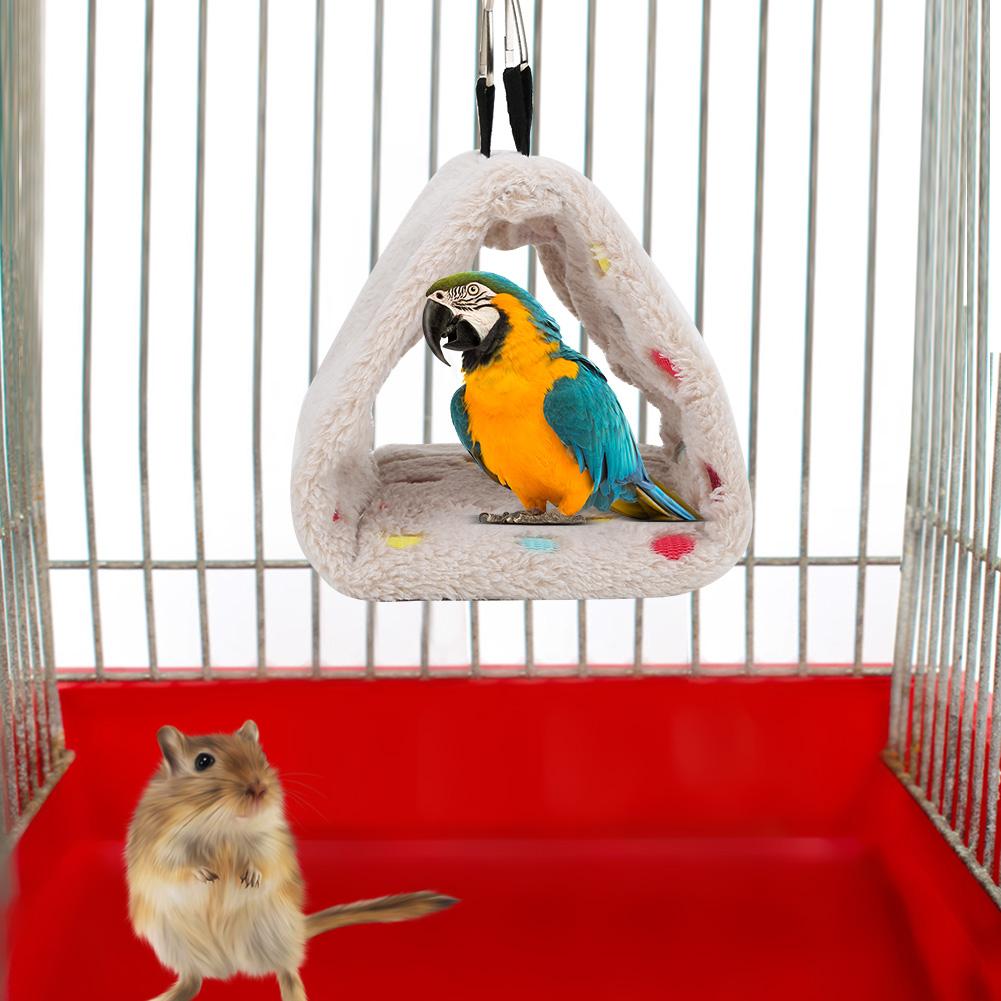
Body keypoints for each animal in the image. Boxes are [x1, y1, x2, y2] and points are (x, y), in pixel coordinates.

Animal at [126, 720, 457, 1001]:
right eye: (203, 762)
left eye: (261, 756)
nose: (259, 788)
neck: (223, 827)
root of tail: (229, 964)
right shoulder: (160, 846)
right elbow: (175, 866)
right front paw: (207, 875)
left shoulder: (270, 841)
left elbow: (264, 861)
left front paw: (250, 879)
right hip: (177, 946)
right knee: (192, 981)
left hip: (273, 932)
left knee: (287, 970)